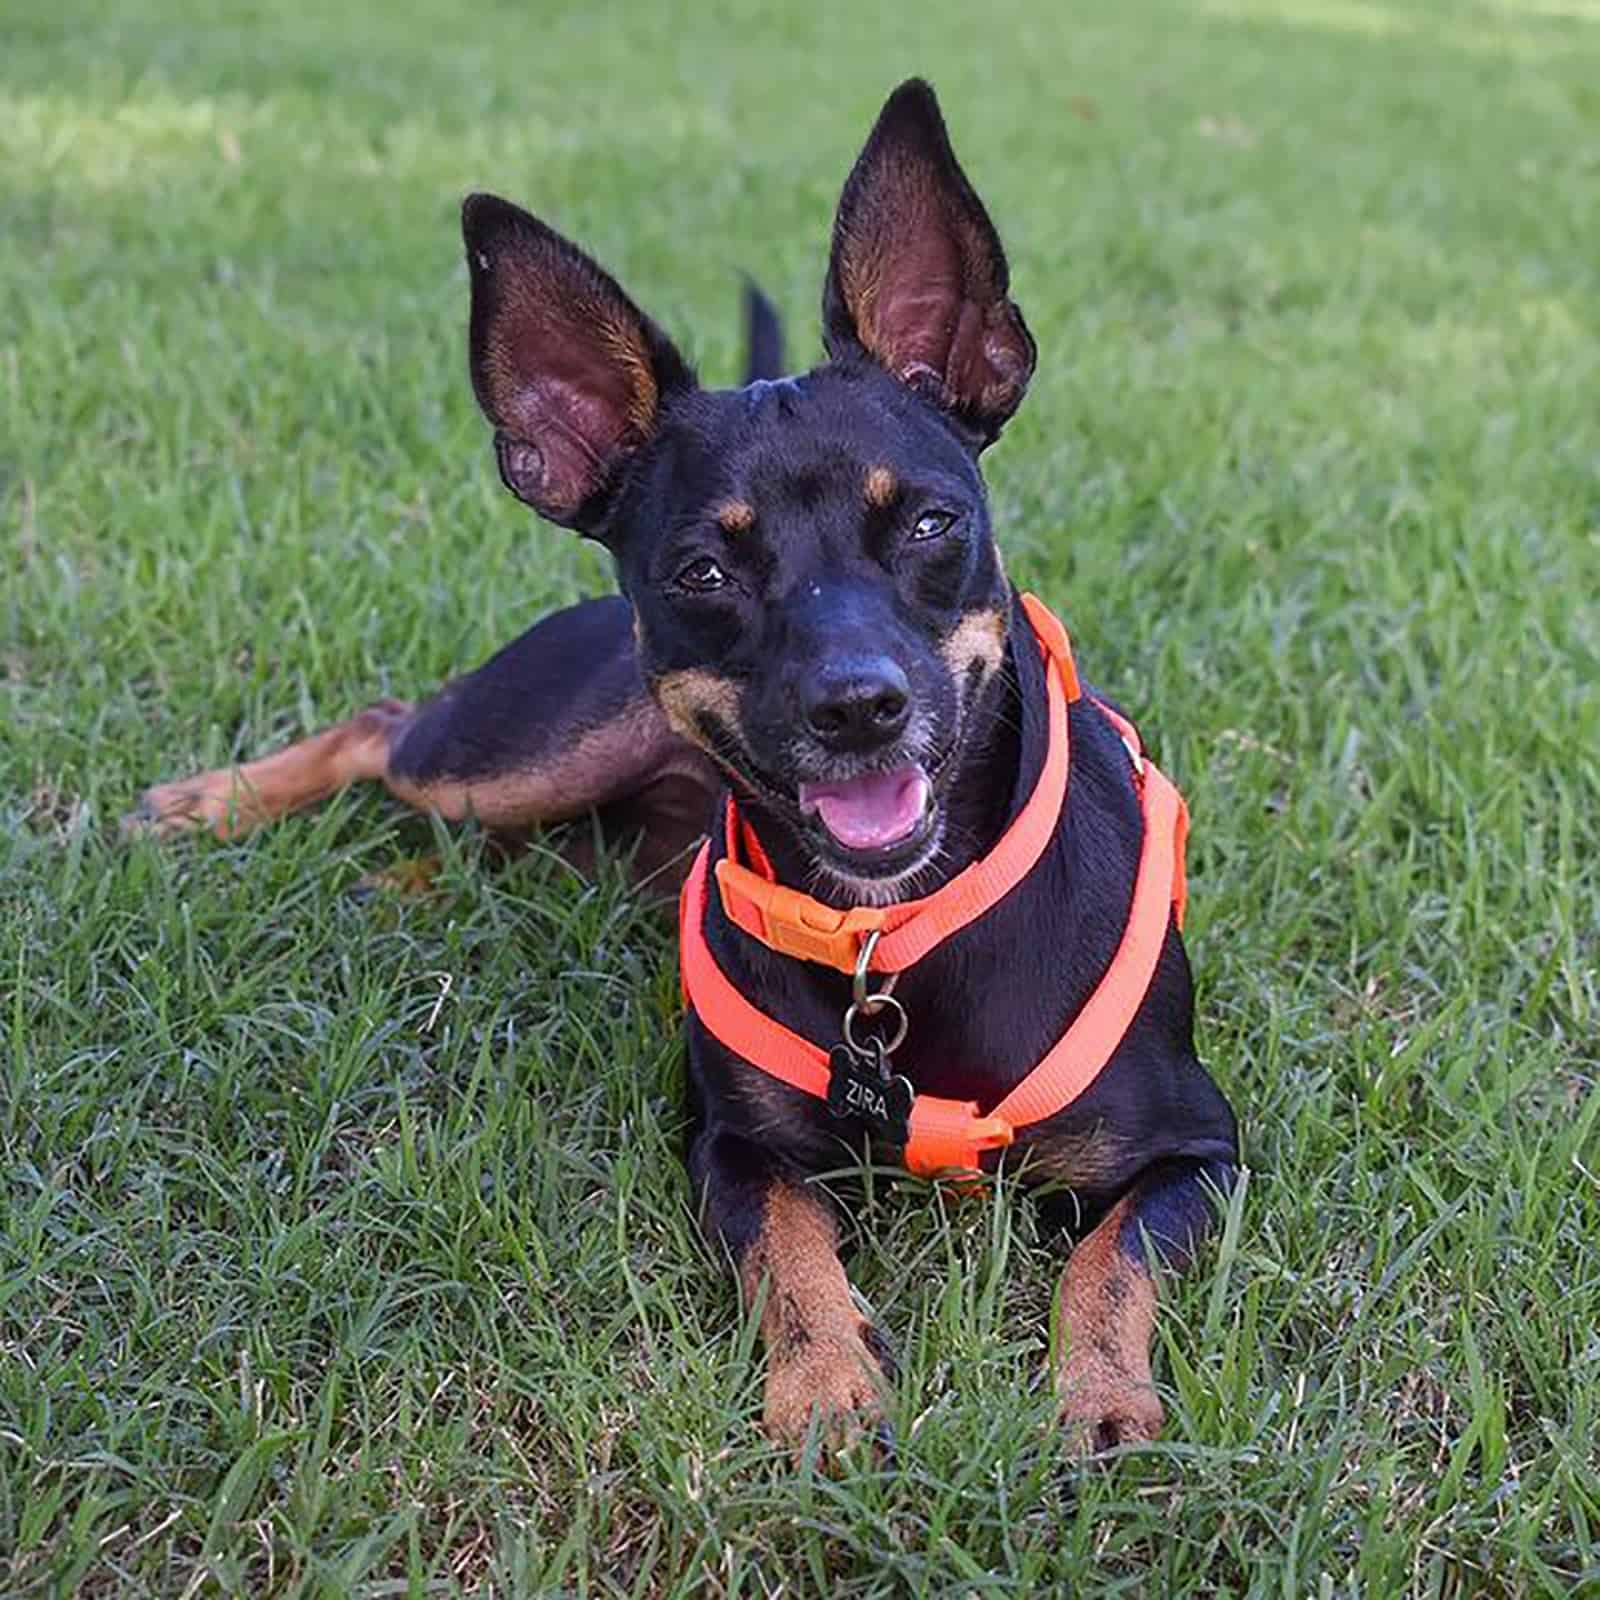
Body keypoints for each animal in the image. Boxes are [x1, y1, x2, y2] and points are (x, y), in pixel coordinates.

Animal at [134, 78, 1235, 1452]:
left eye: (932, 521)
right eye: (703, 571)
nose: (857, 707)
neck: (893, 939)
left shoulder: (1197, 1147)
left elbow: (1109, 1258)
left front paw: (1099, 1396)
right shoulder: (727, 1148)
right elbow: (789, 1247)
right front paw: (826, 1383)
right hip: (524, 747)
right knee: (388, 727)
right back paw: (211, 806)